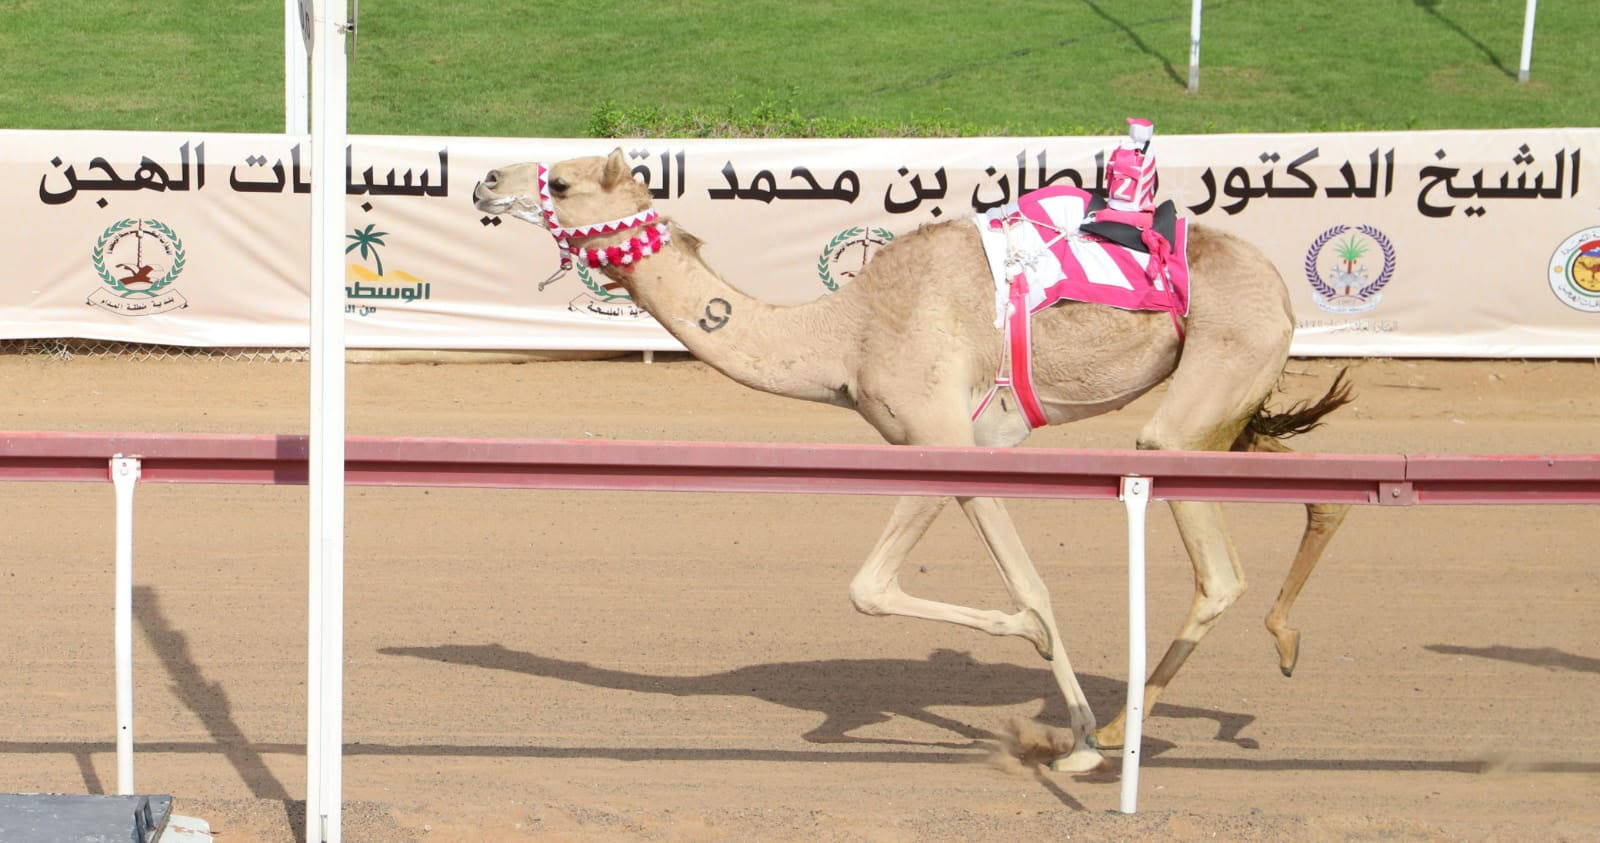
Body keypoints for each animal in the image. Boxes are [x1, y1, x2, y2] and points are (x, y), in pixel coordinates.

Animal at [470, 147, 1350, 771]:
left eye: (568, 182)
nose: (483, 179)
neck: (843, 334)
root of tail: (1281, 288)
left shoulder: (942, 434)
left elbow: (954, 588)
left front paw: (1066, 722)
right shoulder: (952, 444)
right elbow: (936, 585)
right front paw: (1045, 675)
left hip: (1214, 371)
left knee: (1217, 568)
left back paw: (1116, 730)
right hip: (1227, 401)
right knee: (1316, 491)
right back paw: (1279, 646)